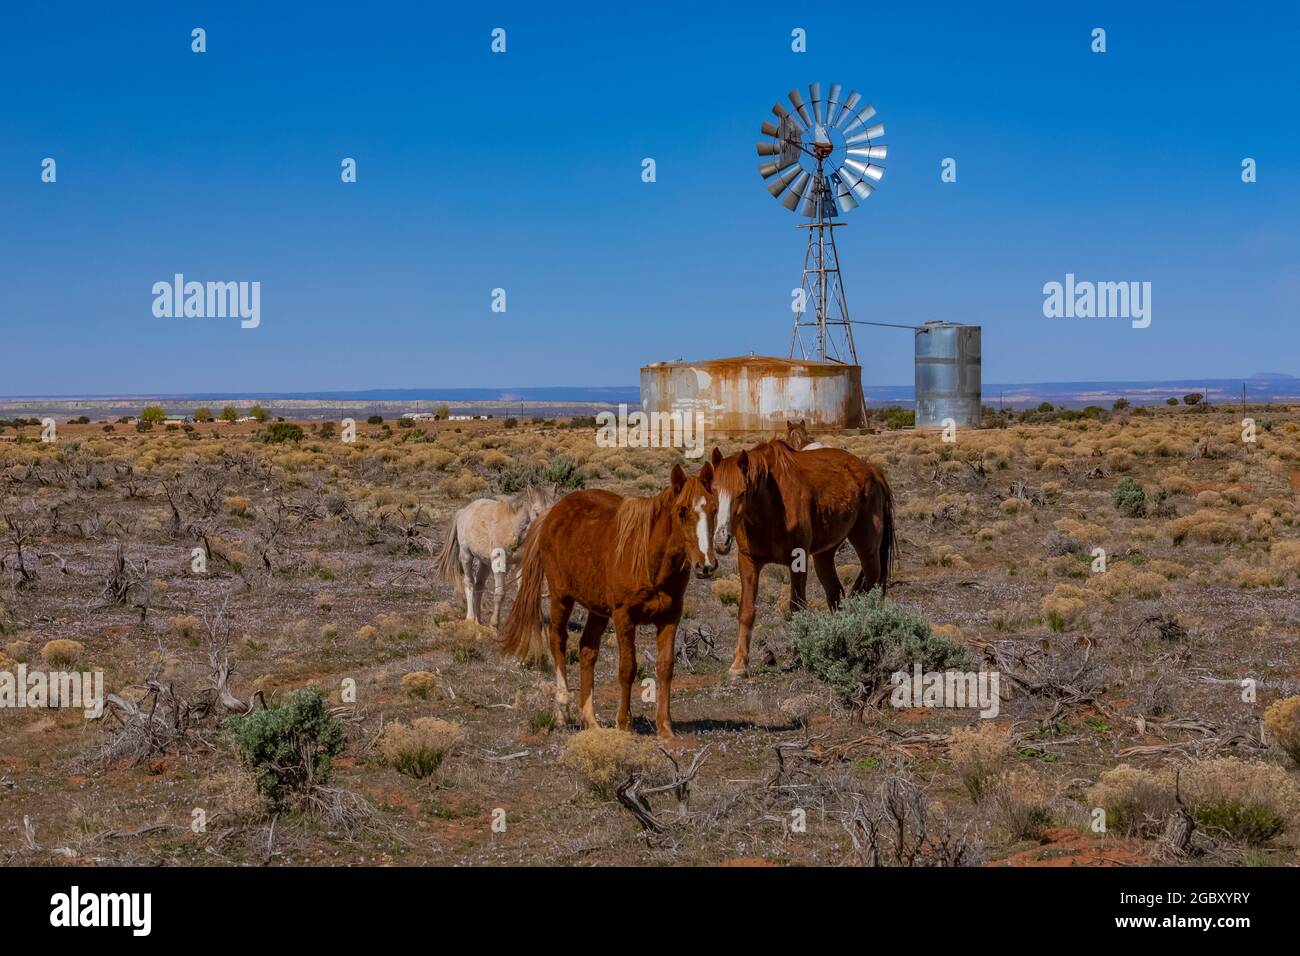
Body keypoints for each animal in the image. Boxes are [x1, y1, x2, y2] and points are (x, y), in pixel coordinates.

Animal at [436, 486, 559, 629]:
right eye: (537, 513)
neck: (514, 529)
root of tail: (463, 511)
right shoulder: (500, 563)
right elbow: (500, 593)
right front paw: (494, 624)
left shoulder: (520, 564)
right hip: (466, 555)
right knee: (469, 583)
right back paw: (470, 618)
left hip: (485, 563)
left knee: (479, 585)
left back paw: (478, 621)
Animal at [499, 463, 722, 738]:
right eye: (682, 511)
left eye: (714, 509)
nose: (706, 564)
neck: (649, 558)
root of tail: (553, 512)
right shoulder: (623, 616)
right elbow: (627, 668)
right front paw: (624, 724)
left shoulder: (670, 617)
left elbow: (666, 667)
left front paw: (665, 726)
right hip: (562, 597)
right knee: (557, 642)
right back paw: (562, 712)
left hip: (597, 609)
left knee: (586, 649)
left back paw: (590, 720)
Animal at [712, 442, 894, 681]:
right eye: (713, 490)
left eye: (742, 493)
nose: (721, 540)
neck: (771, 506)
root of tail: (871, 469)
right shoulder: (748, 561)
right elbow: (746, 610)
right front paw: (739, 664)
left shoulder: (797, 560)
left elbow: (797, 607)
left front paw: (798, 655)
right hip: (824, 554)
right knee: (836, 594)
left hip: (867, 546)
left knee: (871, 584)